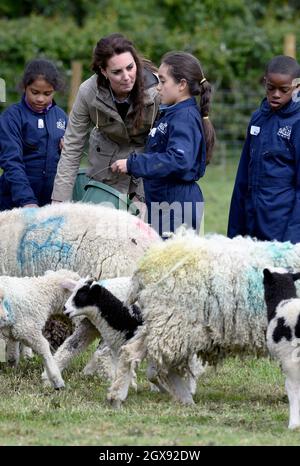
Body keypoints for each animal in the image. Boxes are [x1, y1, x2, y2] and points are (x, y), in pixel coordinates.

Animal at [107, 230, 300, 408]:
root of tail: (149, 263)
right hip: (177, 323)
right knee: (165, 364)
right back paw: (184, 397)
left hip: (162, 320)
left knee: (131, 351)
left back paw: (117, 396)